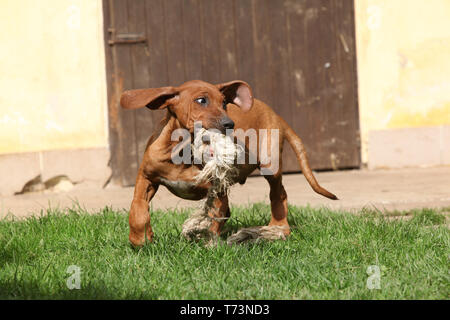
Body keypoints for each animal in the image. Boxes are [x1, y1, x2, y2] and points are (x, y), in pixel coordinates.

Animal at [120, 79, 338, 245]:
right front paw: (141, 239)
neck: (181, 152)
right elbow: (137, 210)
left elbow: (215, 217)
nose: (229, 124)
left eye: (225, 103)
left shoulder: (217, 190)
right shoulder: (146, 178)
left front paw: (210, 243)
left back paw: (278, 228)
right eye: (201, 100)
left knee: (279, 195)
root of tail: (276, 115)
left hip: (270, 165)